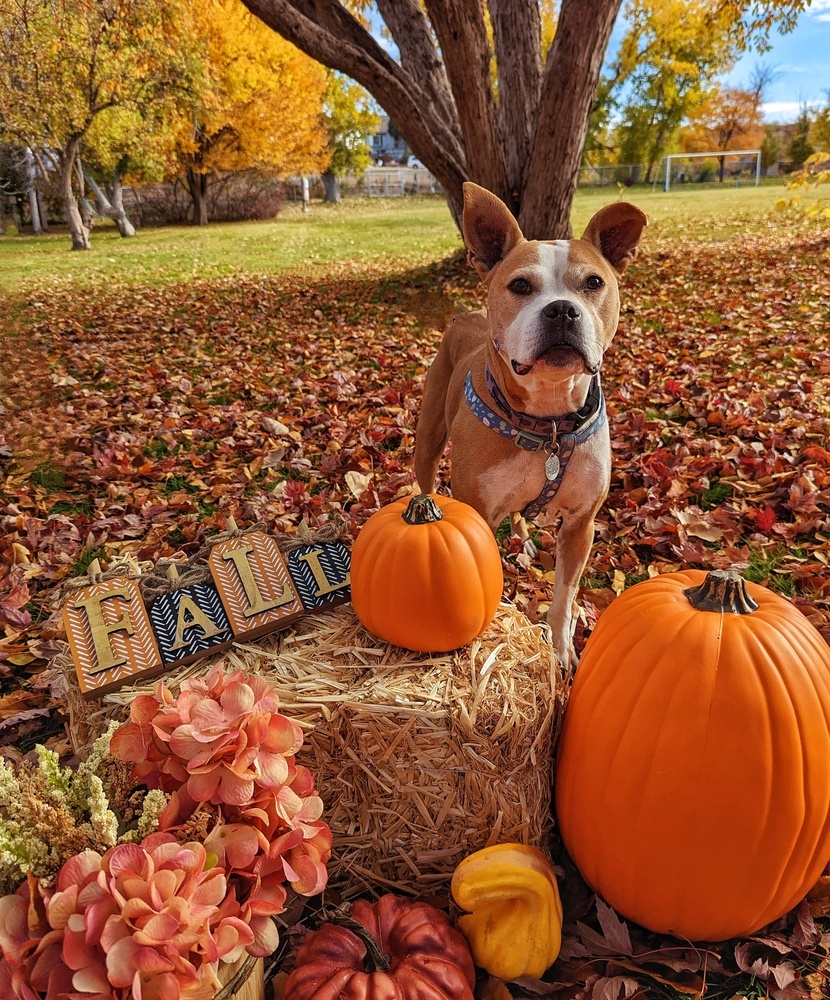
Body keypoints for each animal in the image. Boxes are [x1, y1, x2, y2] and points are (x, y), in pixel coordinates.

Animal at [416, 184, 648, 668]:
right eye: (520, 285)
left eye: (594, 282)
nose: (561, 311)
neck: (549, 421)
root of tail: (467, 316)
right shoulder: (478, 516)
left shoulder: (581, 524)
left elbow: (564, 597)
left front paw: (560, 650)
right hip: (428, 439)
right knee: (425, 480)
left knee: (521, 515)